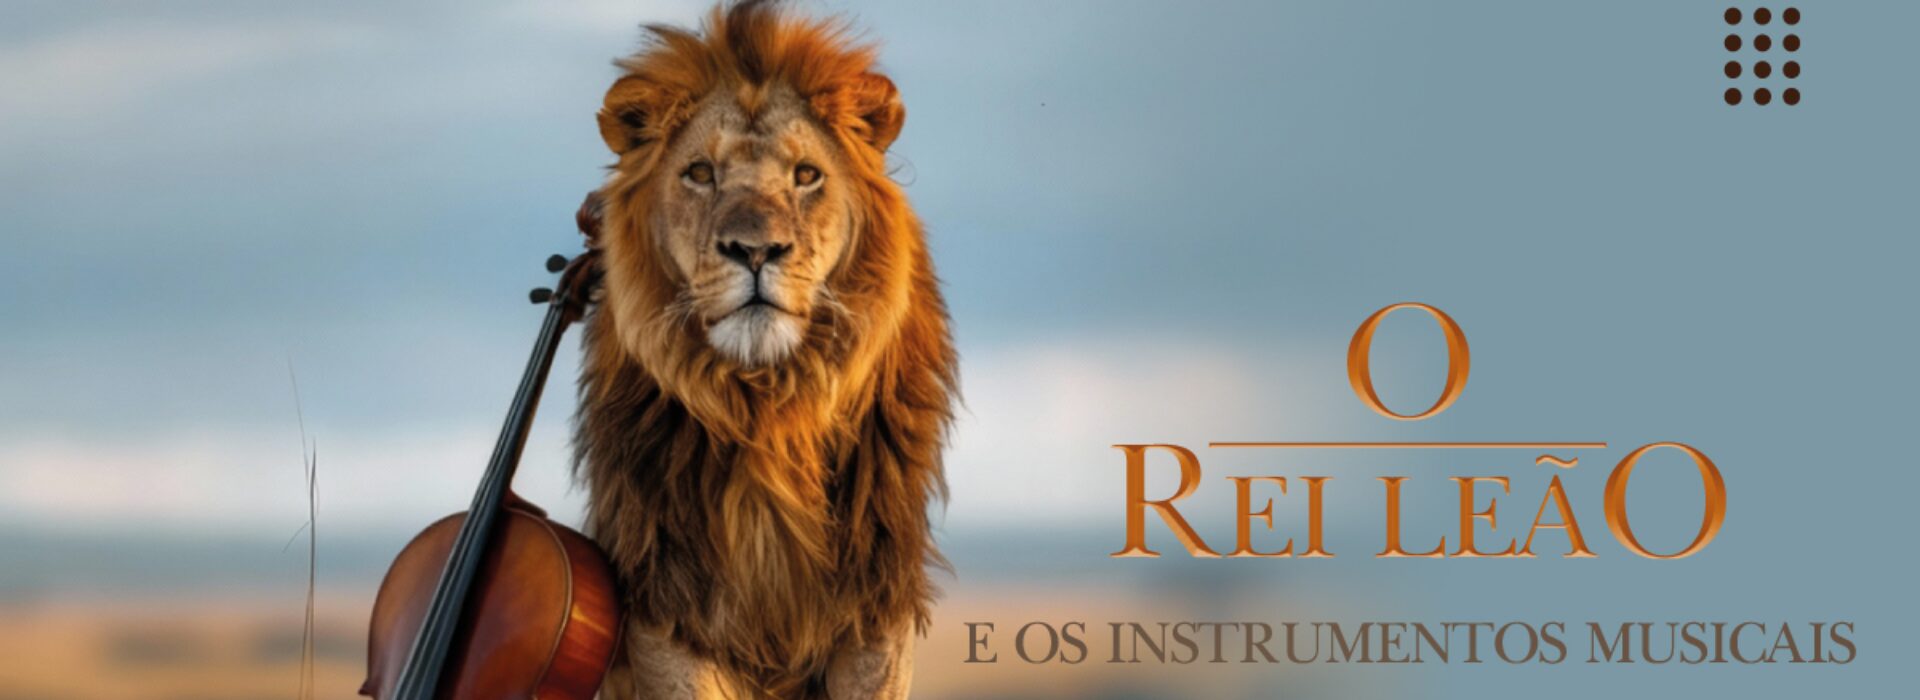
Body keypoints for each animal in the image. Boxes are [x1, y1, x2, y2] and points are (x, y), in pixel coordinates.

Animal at [571, 2, 957, 698]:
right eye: (700, 173)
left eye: (806, 176)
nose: (755, 250)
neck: (767, 406)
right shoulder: (666, 608)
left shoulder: (874, 608)